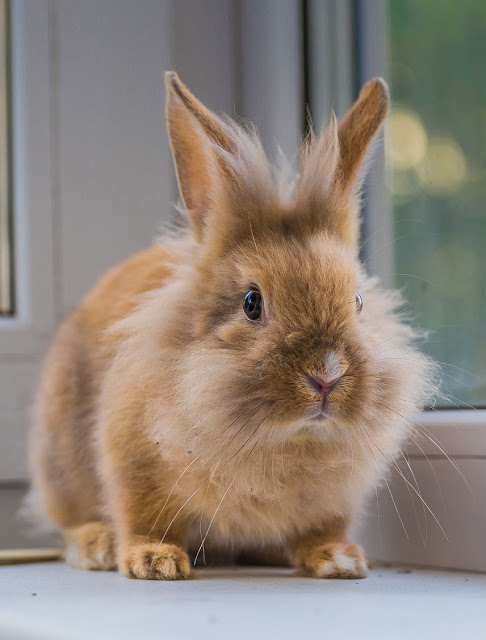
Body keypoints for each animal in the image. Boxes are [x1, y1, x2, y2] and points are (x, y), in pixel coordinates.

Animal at [26, 71, 436, 580]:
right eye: (251, 303)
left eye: (358, 301)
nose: (326, 377)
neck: (285, 440)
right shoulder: (133, 463)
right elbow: (142, 515)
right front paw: (156, 562)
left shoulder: (334, 498)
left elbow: (324, 526)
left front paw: (338, 560)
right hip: (59, 465)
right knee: (70, 522)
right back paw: (96, 545)